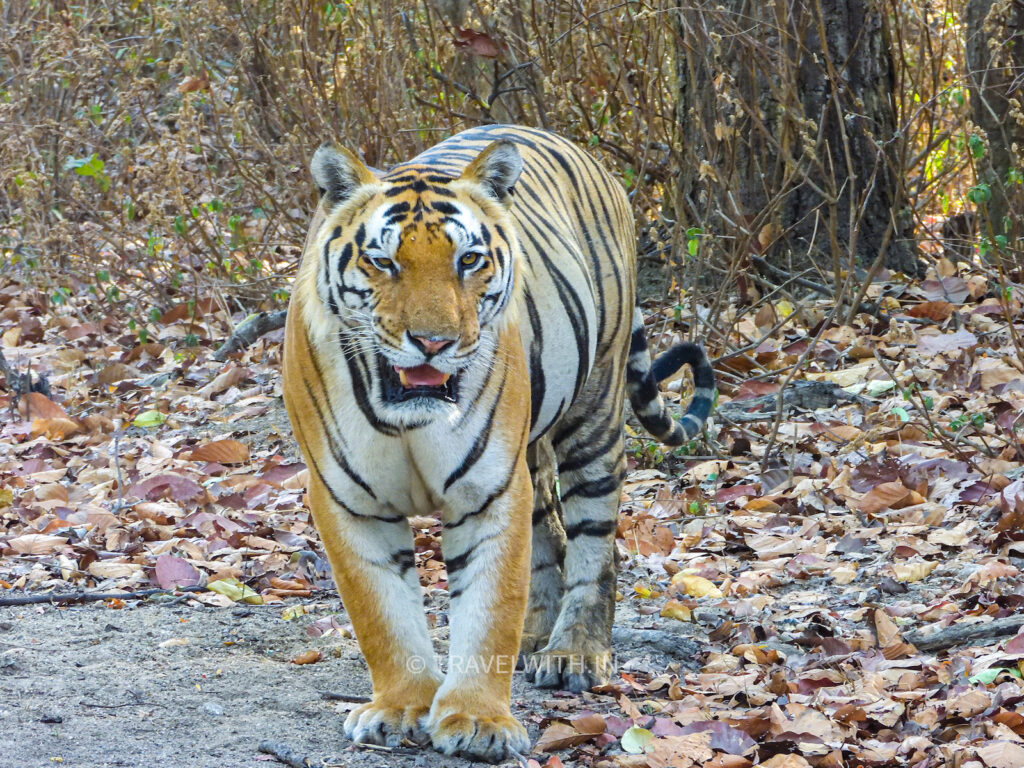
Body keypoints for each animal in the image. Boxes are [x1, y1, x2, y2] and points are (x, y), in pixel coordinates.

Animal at [280, 126, 712, 765]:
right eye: (383, 261)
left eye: (468, 260)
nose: (434, 343)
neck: (406, 419)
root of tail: (574, 145)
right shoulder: (347, 501)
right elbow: (383, 615)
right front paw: (401, 708)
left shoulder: (488, 491)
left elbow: (488, 608)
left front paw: (478, 721)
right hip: (530, 450)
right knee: (548, 533)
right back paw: (534, 638)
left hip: (593, 415)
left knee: (594, 544)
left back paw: (573, 652)